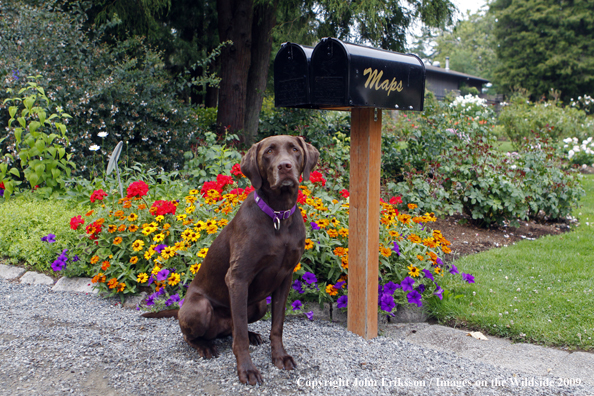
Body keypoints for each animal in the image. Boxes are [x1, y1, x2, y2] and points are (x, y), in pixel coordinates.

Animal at [143, 135, 316, 386]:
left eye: (294, 149)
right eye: (269, 152)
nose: (285, 167)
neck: (278, 215)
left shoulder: (285, 278)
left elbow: (277, 326)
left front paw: (280, 356)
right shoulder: (238, 278)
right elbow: (240, 336)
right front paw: (247, 370)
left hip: (259, 304)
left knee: (234, 328)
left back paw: (252, 335)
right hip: (199, 308)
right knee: (195, 335)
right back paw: (204, 346)